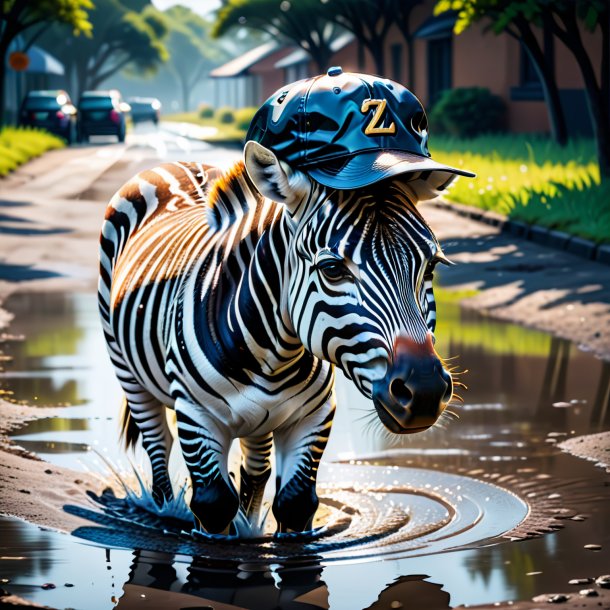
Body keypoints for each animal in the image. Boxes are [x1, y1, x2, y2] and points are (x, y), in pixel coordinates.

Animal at [98, 70, 470, 532]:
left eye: (431, 267)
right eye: (332, 269)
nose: (423, 391)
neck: (272, 355)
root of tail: (174, 164)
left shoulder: (313, 417)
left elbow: (294, 502)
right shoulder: (196, 418)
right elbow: (213, 504)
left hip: (260, 419)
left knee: (255, 465)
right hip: (128, 371)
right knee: (156, 442)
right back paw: (164, 508)